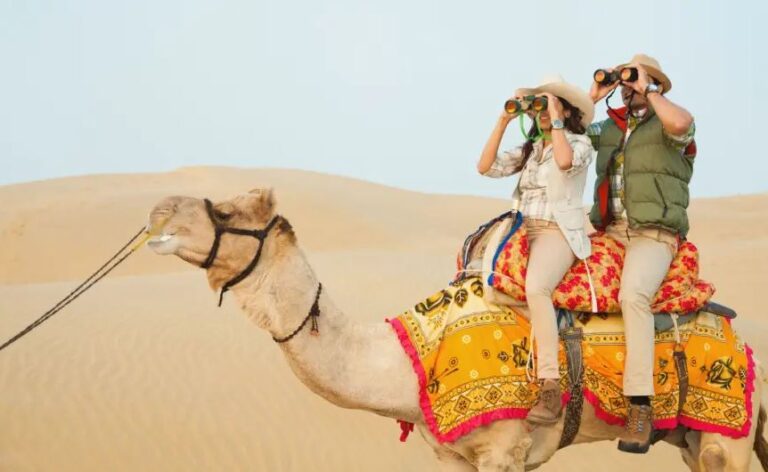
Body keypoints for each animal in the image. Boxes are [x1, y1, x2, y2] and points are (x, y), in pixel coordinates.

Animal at [146, 188, 768, 472]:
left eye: (226, 213)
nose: (158, 213)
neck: (406, 363)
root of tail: (745, 345)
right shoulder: (454, 455)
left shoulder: (504, 448)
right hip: (691, 438)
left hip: (725, 438)